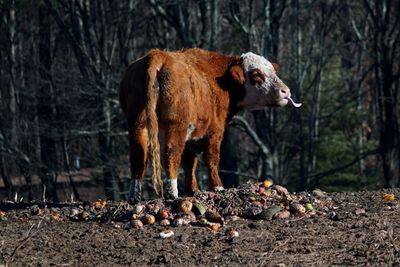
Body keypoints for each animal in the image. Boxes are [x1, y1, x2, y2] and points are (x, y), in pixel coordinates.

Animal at [119, 48, 300, 203]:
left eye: (273, 72)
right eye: (256, 74)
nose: (286, 91)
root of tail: (158, 55)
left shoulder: (191, 137)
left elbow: (189, 163)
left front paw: (193, 189)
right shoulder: (214, 131)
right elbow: (211, 158)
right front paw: (218, 186)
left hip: (138, 124)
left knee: (138, 155)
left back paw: (134, 196)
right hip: (176, 125)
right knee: (171, 152)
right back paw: (172, 192)